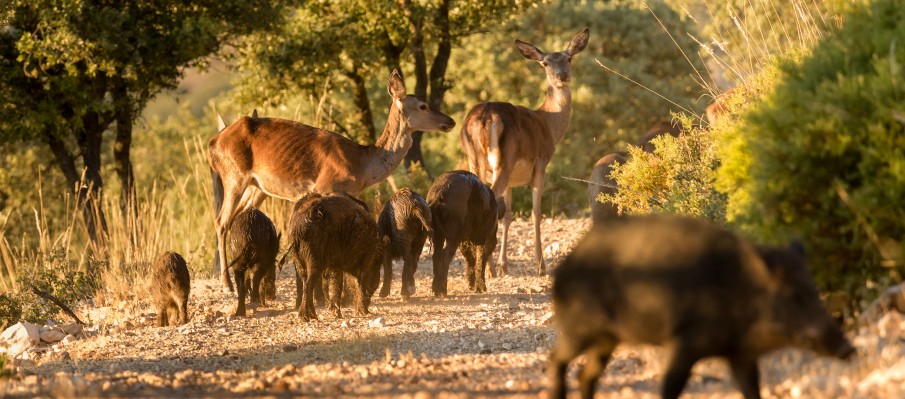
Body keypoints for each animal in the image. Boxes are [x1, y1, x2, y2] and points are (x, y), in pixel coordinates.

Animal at [209, 70, 456, 290]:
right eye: (423, 105)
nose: (451, 121)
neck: (361, 165)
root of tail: (214, 142)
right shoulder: (326, 185)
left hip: (258, 187)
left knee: (237, 217)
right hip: (234, 176)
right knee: (221, 221)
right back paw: (227, 284)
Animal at [460, 28, 588, 276]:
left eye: (569, 58)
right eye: (545, 63)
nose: (562, 76)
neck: (547, 125)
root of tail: (484, 118)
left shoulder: (512, 180)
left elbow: (508, 215)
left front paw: (504, 266)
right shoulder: (541, 163)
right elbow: (536, 213)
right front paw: (540, 266)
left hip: (477, 162)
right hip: (504, 160)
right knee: (490, 201)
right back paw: (488, 268)